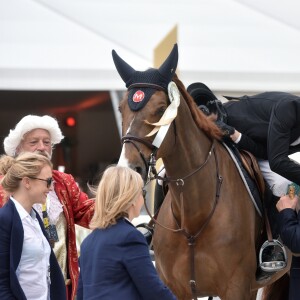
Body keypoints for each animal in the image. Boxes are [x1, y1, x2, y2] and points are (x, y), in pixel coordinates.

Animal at [112, 44, 288, 300]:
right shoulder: (176, 288)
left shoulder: (236, 288)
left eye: (162, 109)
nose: (129, 169)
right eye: (121, 108)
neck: (193, 218)